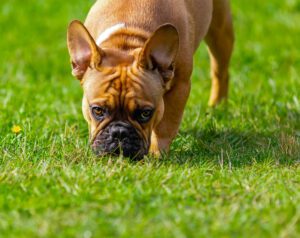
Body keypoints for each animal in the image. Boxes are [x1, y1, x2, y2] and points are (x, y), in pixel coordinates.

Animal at [67, 0, 234, 159]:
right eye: (98, 110)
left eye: (145, 113)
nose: (119, 132)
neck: (127, 40)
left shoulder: (180, 86)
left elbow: (166, 125)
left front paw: (157, 153)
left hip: (220, 31)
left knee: (220, 71)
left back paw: (217, 105)